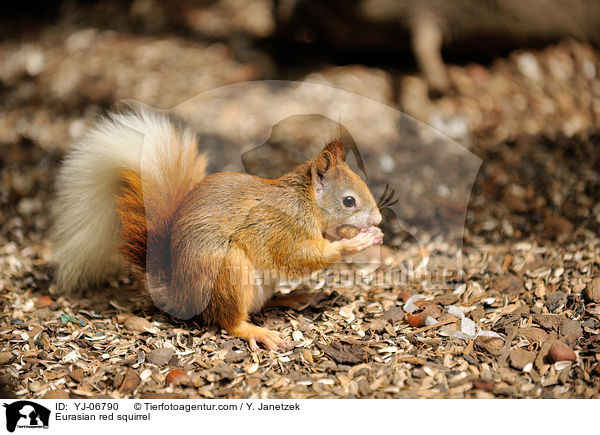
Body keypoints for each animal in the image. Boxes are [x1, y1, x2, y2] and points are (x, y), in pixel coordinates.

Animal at [54, 110, 386, 352]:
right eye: (349, 201)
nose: (380, 220)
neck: (304, 203)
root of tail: (180, 294)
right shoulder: (279, 228)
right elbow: (298, 257)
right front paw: (356, 243)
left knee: (262, 303)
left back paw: (296, 297)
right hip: (228, 270)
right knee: (230, 321)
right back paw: (255, 330)